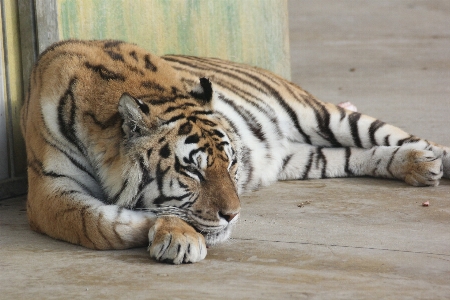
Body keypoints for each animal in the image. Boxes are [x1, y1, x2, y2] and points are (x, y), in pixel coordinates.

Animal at [21, 39, 450, 262]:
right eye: (192, 171)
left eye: (230, 163)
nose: (234, 215)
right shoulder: (49, 192)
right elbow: (100, 224)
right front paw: (176, 234)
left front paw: (177, 235)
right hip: (304, 158)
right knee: (360, 154)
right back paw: (420, 164)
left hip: (320, 115)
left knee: (391, 133)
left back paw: (433, 157)